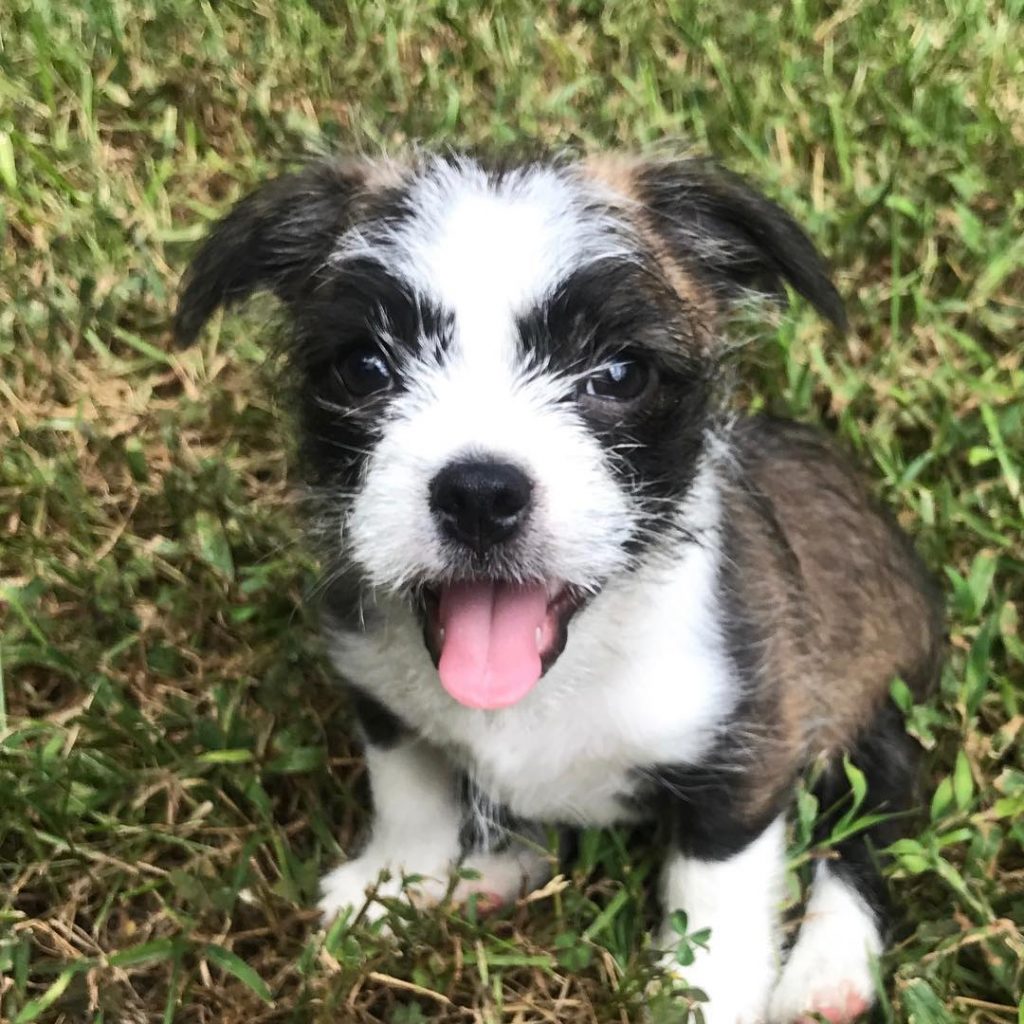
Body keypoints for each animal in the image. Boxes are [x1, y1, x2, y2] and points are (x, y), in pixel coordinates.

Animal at [176, 151, 942, 1024]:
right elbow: (410, 797)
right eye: (364, 367)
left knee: (871, 822)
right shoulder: (384, 704)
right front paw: (394, 885)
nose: (480, 494)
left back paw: (827, 971)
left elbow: (714, 899)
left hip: (877, 721)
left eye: (620, 373)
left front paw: (701, 995)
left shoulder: (746, 762)